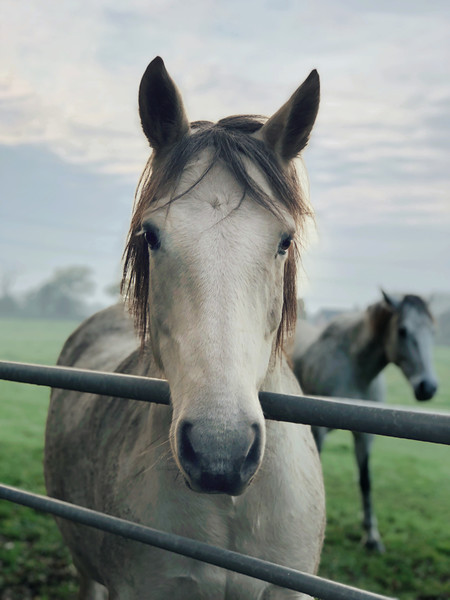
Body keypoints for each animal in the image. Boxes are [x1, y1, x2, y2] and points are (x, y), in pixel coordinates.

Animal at [290, 290, 438, 552]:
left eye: (432, 330)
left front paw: (371, 536)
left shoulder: (365, 434)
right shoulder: (317, 431)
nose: (428, 387)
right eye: (403, 330)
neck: (354, 367)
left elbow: (365, 481)